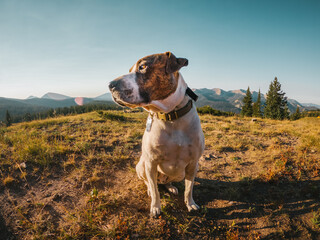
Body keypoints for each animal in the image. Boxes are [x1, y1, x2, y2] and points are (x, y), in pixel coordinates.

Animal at [109, 52, 205, 218]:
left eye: (142, 67)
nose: (110, 85)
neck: (171, 116)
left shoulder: (193, 163)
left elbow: (189, 188)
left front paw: (191, 204)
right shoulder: (151, 162)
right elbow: (155, 190)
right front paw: (155, 207)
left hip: (180, 173)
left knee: (167, 182)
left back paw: (171, 187)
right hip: (142, 166)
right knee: (150, 182)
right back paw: (150, 189)